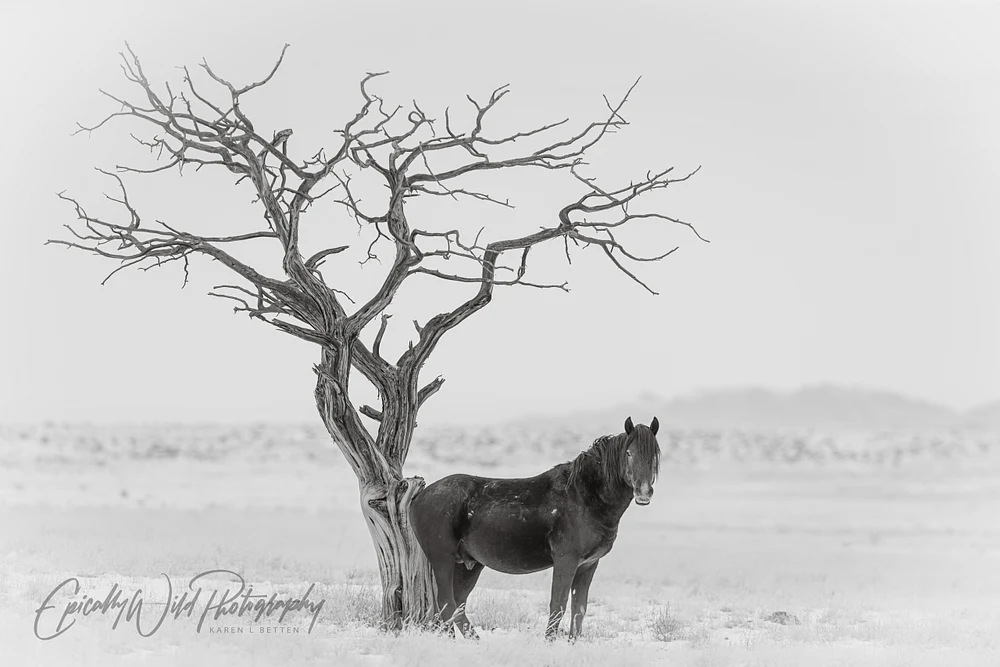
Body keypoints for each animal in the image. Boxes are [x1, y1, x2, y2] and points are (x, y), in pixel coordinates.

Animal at [409, 416, 661, 639]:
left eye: (655, 456)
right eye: (628, 453)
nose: (644, 493)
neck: (584, 497)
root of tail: (421, 496)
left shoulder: (588, 565)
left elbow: (579, 610)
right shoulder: (566, 561)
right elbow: (558, 605)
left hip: (469, 565)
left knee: (456, 605)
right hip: (443, 559)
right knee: (446, 603)